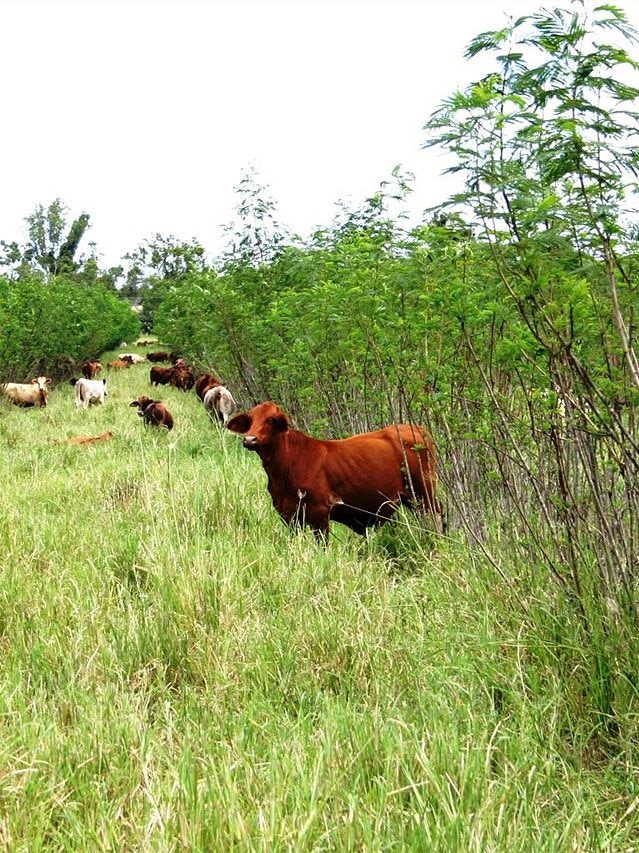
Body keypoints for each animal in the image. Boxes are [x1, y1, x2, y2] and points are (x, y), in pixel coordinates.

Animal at [226, 402, 440, 540]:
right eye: (250, 420)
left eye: (270, 419)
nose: (249, 439)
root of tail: (416, 429)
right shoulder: (288, 515)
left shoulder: (319, 513)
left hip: (424, 494)